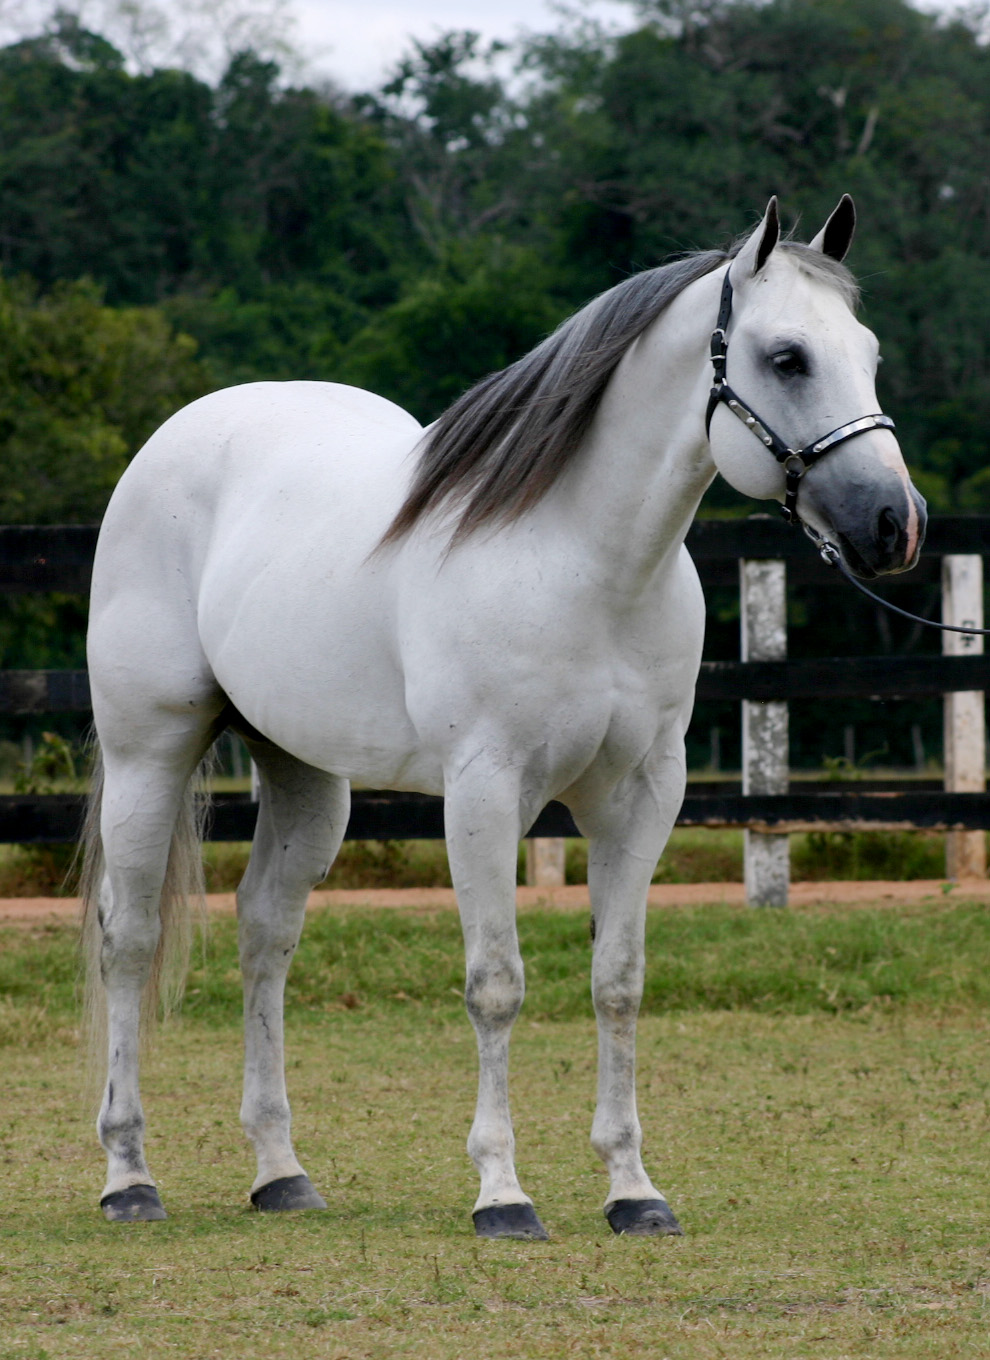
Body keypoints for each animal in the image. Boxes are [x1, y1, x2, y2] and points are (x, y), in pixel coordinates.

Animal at [81, 197, 924, 1240]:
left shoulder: (642, 798)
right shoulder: (484, 793)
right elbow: (496, 985)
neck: (584, 562)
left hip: (305, 774)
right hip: (148, 751)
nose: (895, 524)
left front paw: (633, 1190)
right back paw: (129, 1176)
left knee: (265, 931)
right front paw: (503, 1193)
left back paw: (281, 1172)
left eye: (868, 352)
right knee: (130, 939)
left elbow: (618, 982)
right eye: (788, 357)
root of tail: (177, 440)